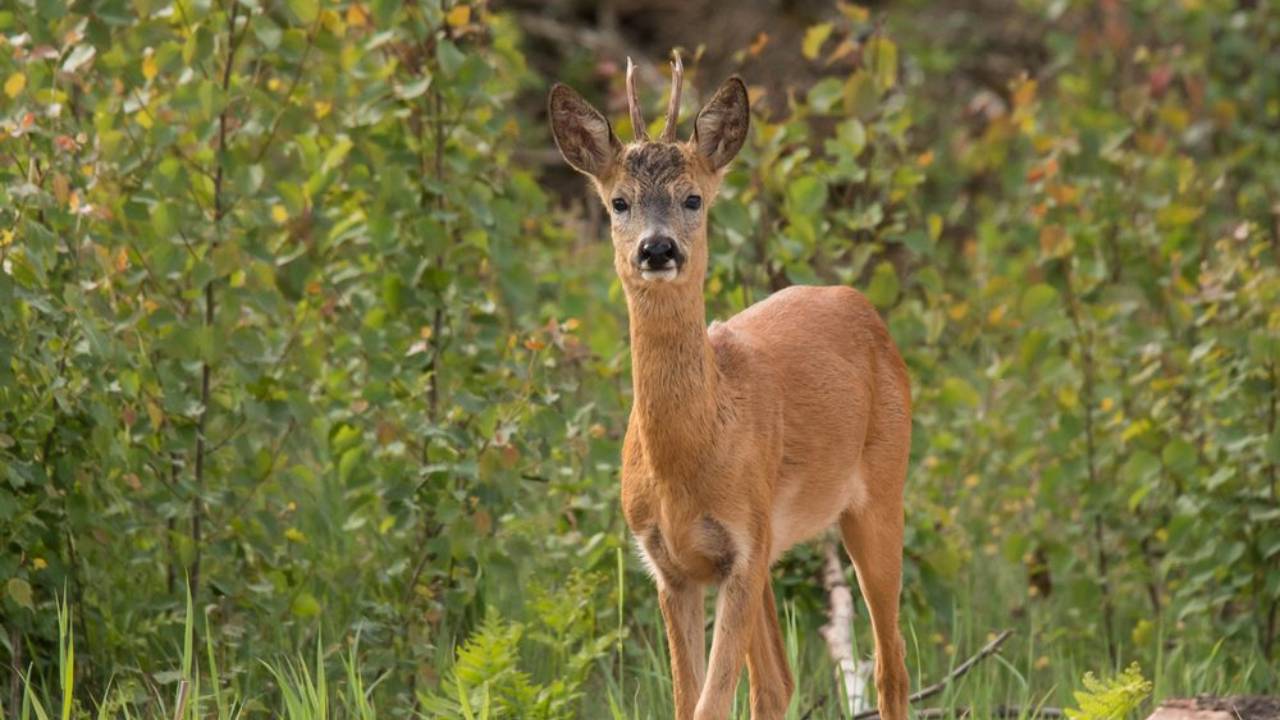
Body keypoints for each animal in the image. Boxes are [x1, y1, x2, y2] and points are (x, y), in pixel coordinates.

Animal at [545, 54, 916, 717]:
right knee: (778, 682)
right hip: (773, 544)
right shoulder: (671, 565)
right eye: (618, 202)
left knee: (890, 663)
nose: (657, 248)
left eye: (693, 197)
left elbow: (709, 704)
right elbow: (688, 700)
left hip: (879, 490)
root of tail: (863, 308)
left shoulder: (741, 550)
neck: (686, 461)